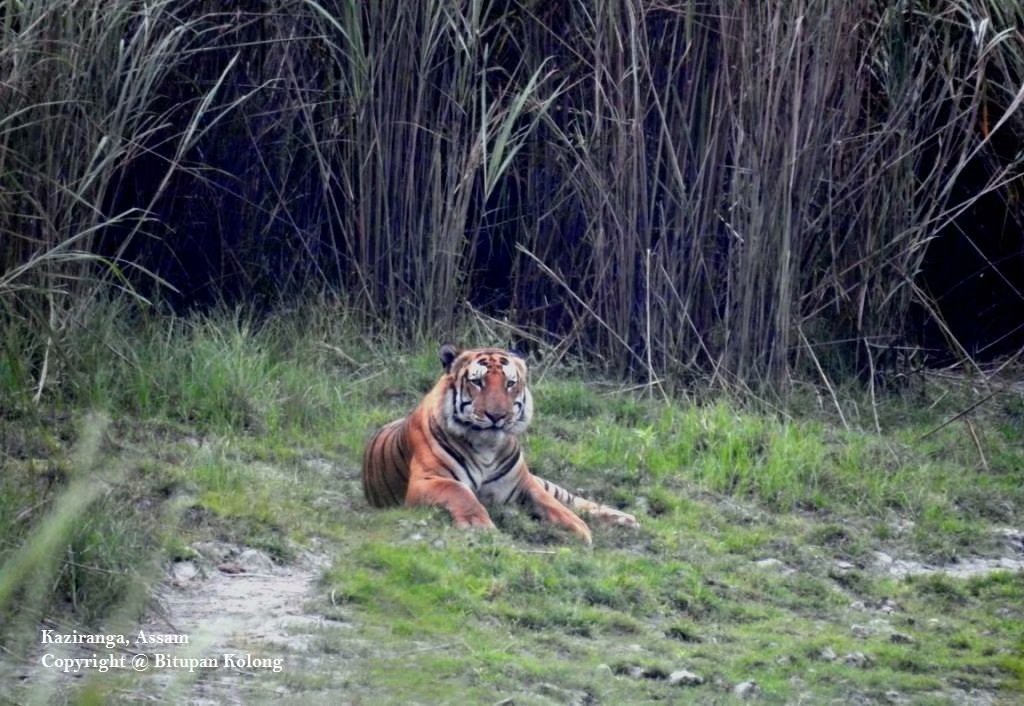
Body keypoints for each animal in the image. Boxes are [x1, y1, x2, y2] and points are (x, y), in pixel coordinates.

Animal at [361, 344, 638, 544]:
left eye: (510, 383)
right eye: (477, 382)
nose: (497, 416)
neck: (487, 448)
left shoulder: (525, 483)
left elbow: (553, 504)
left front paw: (578, 528)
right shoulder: (426, 481)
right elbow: (460, 493)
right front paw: (479, 526)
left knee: (573, 499)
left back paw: (626, 519)